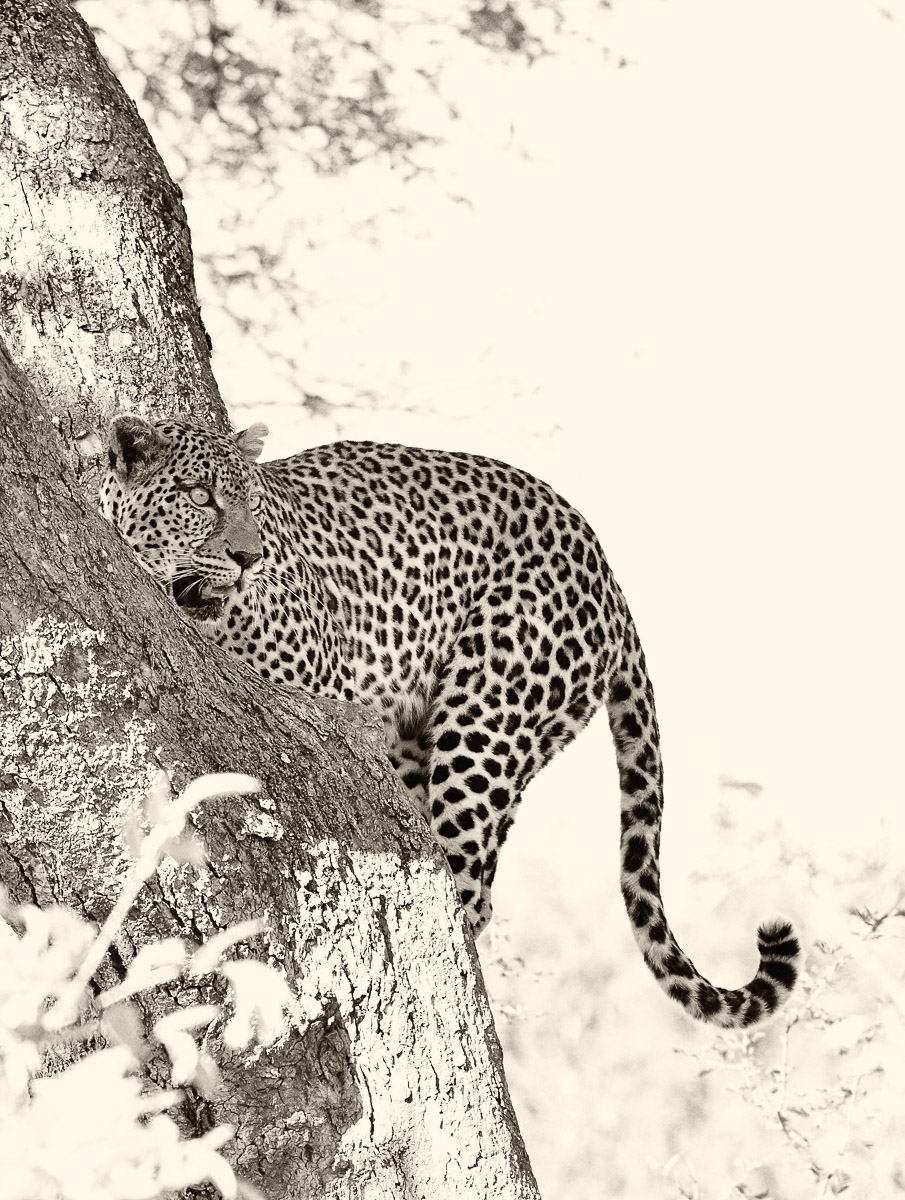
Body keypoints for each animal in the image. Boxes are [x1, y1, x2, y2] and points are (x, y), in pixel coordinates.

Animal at [101, 414, 800, 1027]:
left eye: (253, 503)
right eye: (199, 497)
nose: (249, 557)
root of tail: (606, 568)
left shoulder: (323, 695)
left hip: (486, 724)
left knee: (466, 881)